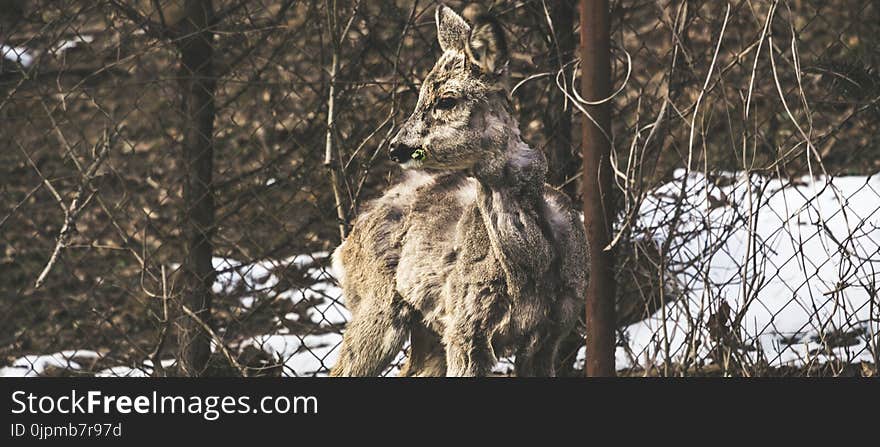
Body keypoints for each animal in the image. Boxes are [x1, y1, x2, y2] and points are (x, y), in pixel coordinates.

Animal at [328, 6, 584, 378]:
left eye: (447, 100)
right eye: (420, 96)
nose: (396, 147)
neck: (532, 265)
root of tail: (347, 240)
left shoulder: (554, 332)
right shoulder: (466, 325)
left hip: (427, 328)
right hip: (377, 303)